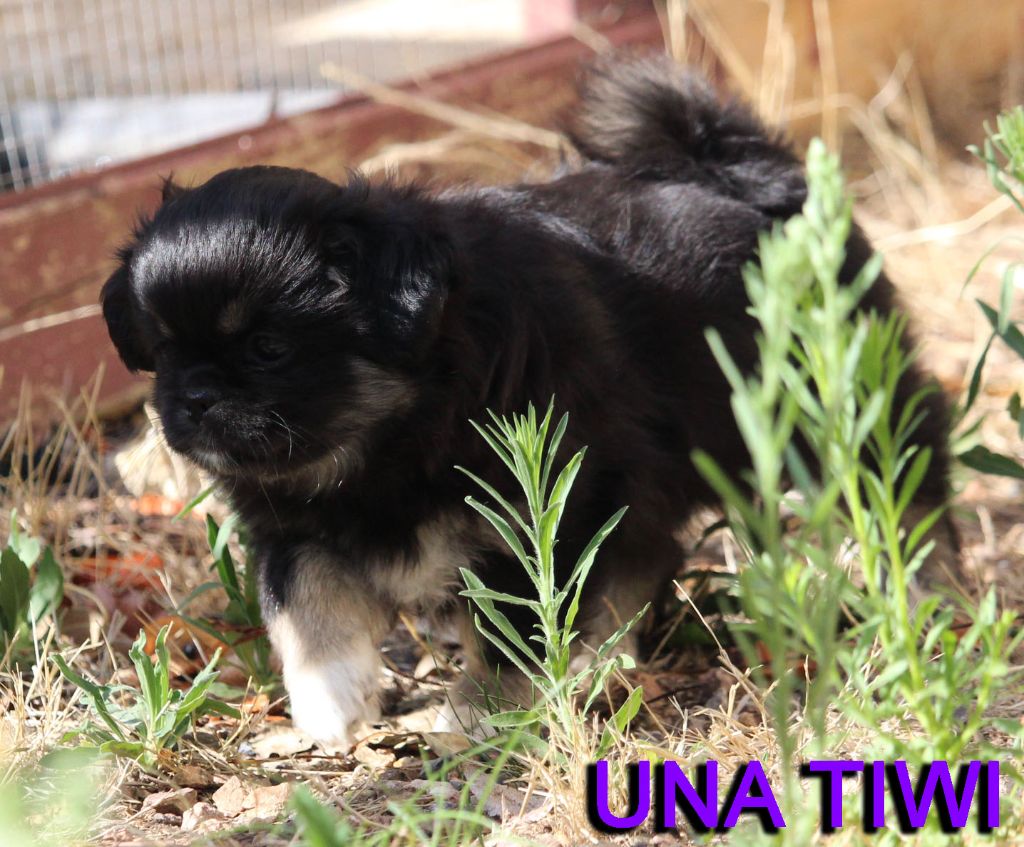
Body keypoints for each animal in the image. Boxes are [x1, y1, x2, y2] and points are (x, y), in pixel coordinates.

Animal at [99, 56, 956, 745]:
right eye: (162, 351)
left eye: (268, 348)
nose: (195, 396)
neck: (385, 439)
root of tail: (737, 167)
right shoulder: (292, 522)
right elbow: (303, 605)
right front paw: (330, 701)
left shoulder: (546, 503)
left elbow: (516, 613)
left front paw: (482, 709)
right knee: (649, 552)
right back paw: (605, 655)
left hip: (838, 402)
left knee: (904, 472)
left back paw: (919, 581)